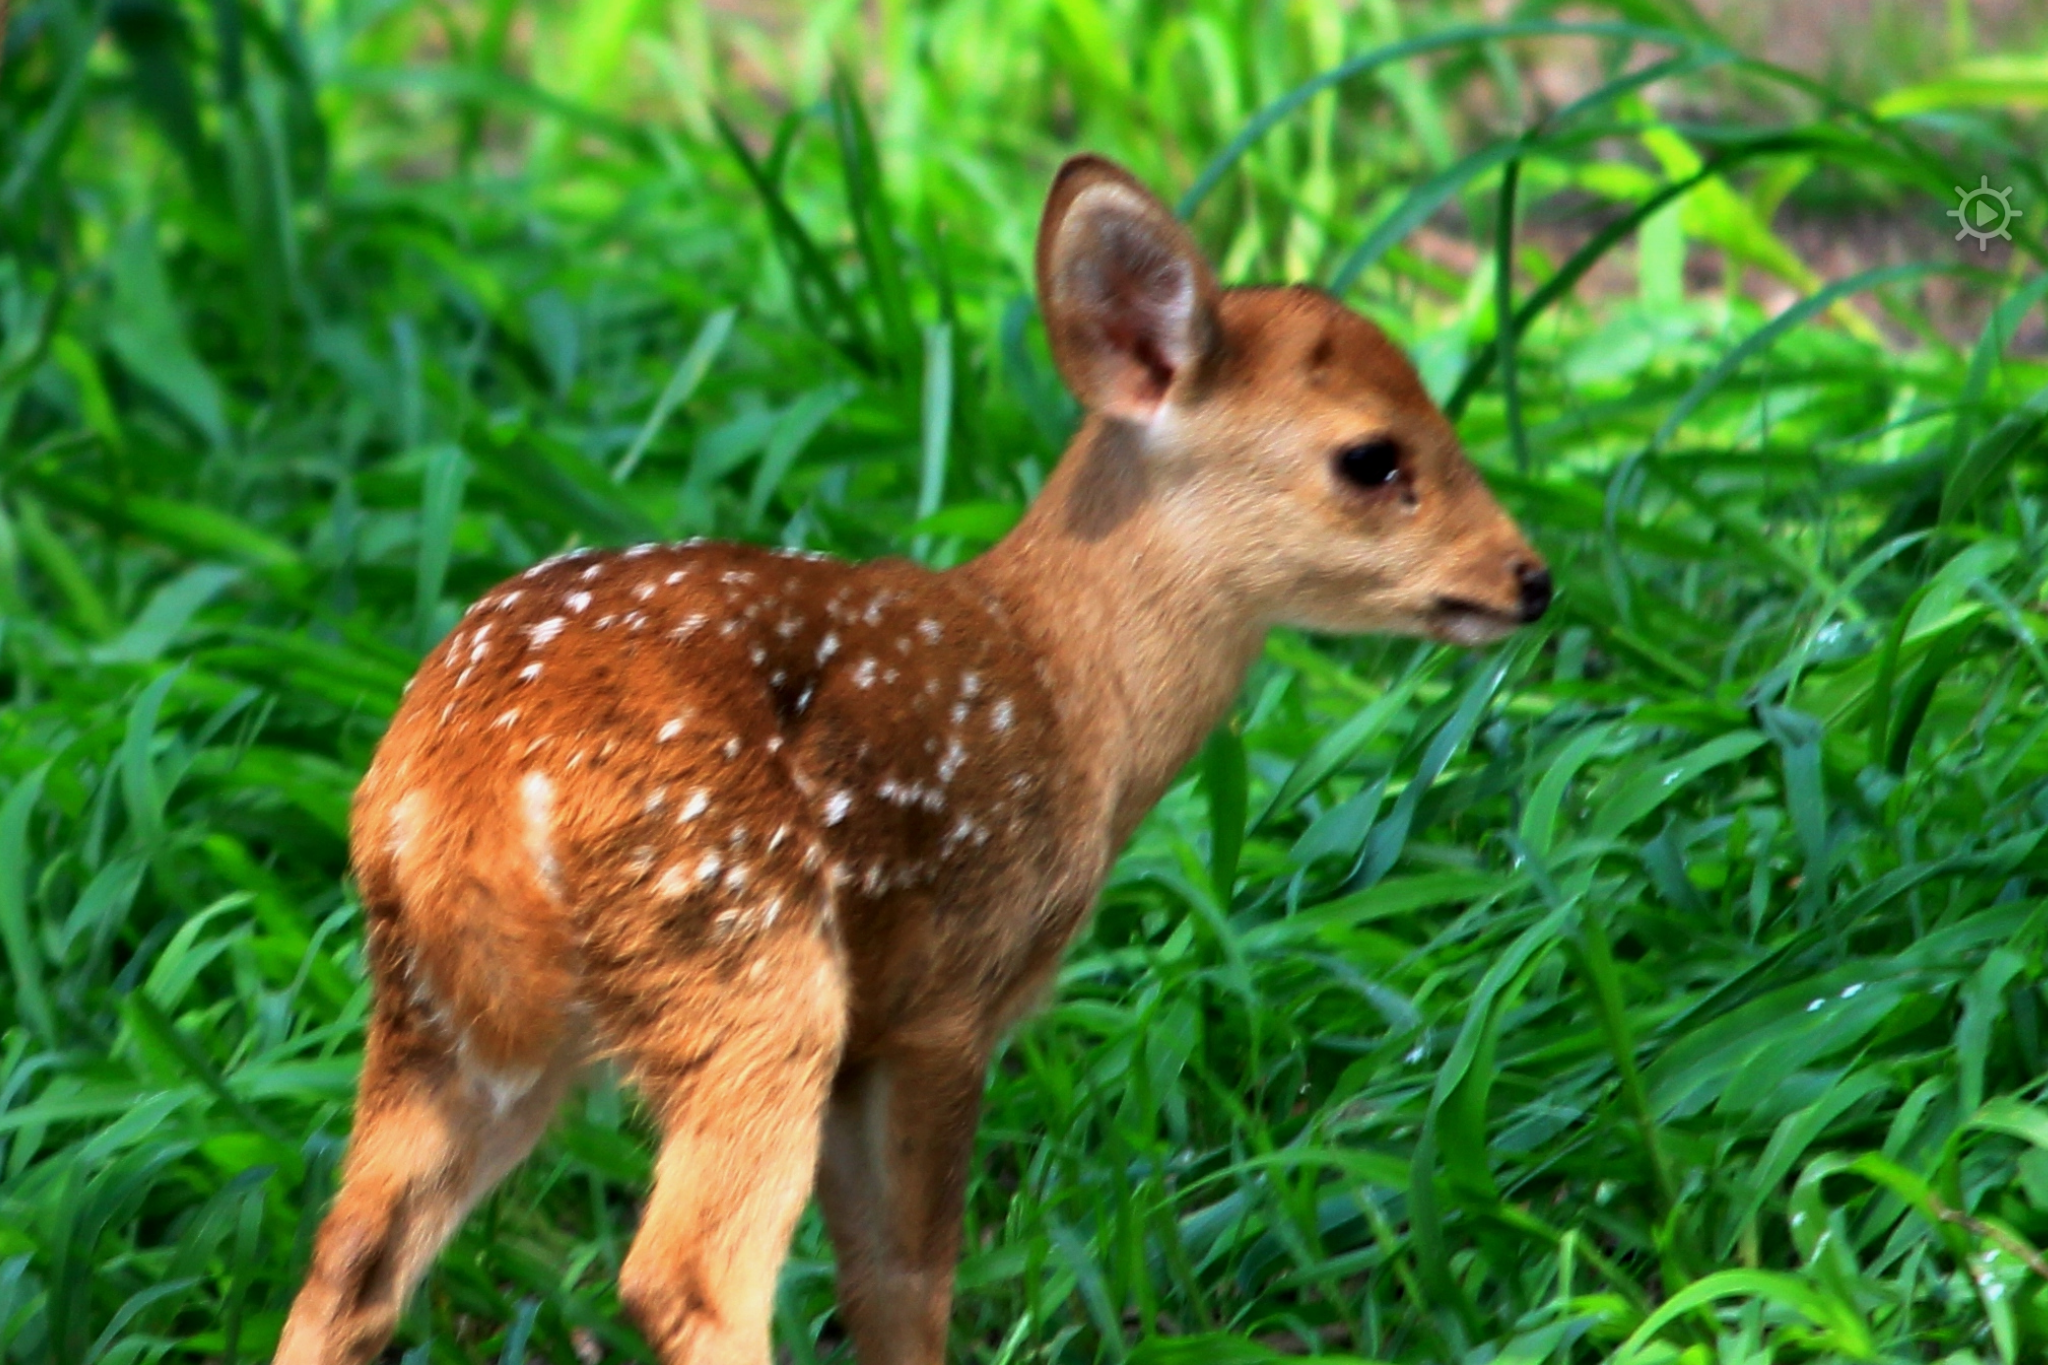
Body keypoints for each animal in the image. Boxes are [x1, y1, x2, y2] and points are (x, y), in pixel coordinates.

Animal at [274, 153, 1550, 1365]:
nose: (1529, 577)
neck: (1067, 691)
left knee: (347, 1265)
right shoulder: (946, 995)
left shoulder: (875, 1027)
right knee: (685, 1277)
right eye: (1371, 457)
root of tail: (465, 790)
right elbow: (909, 1282)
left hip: (443, 1021)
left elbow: (870, 1278)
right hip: (746, 972)